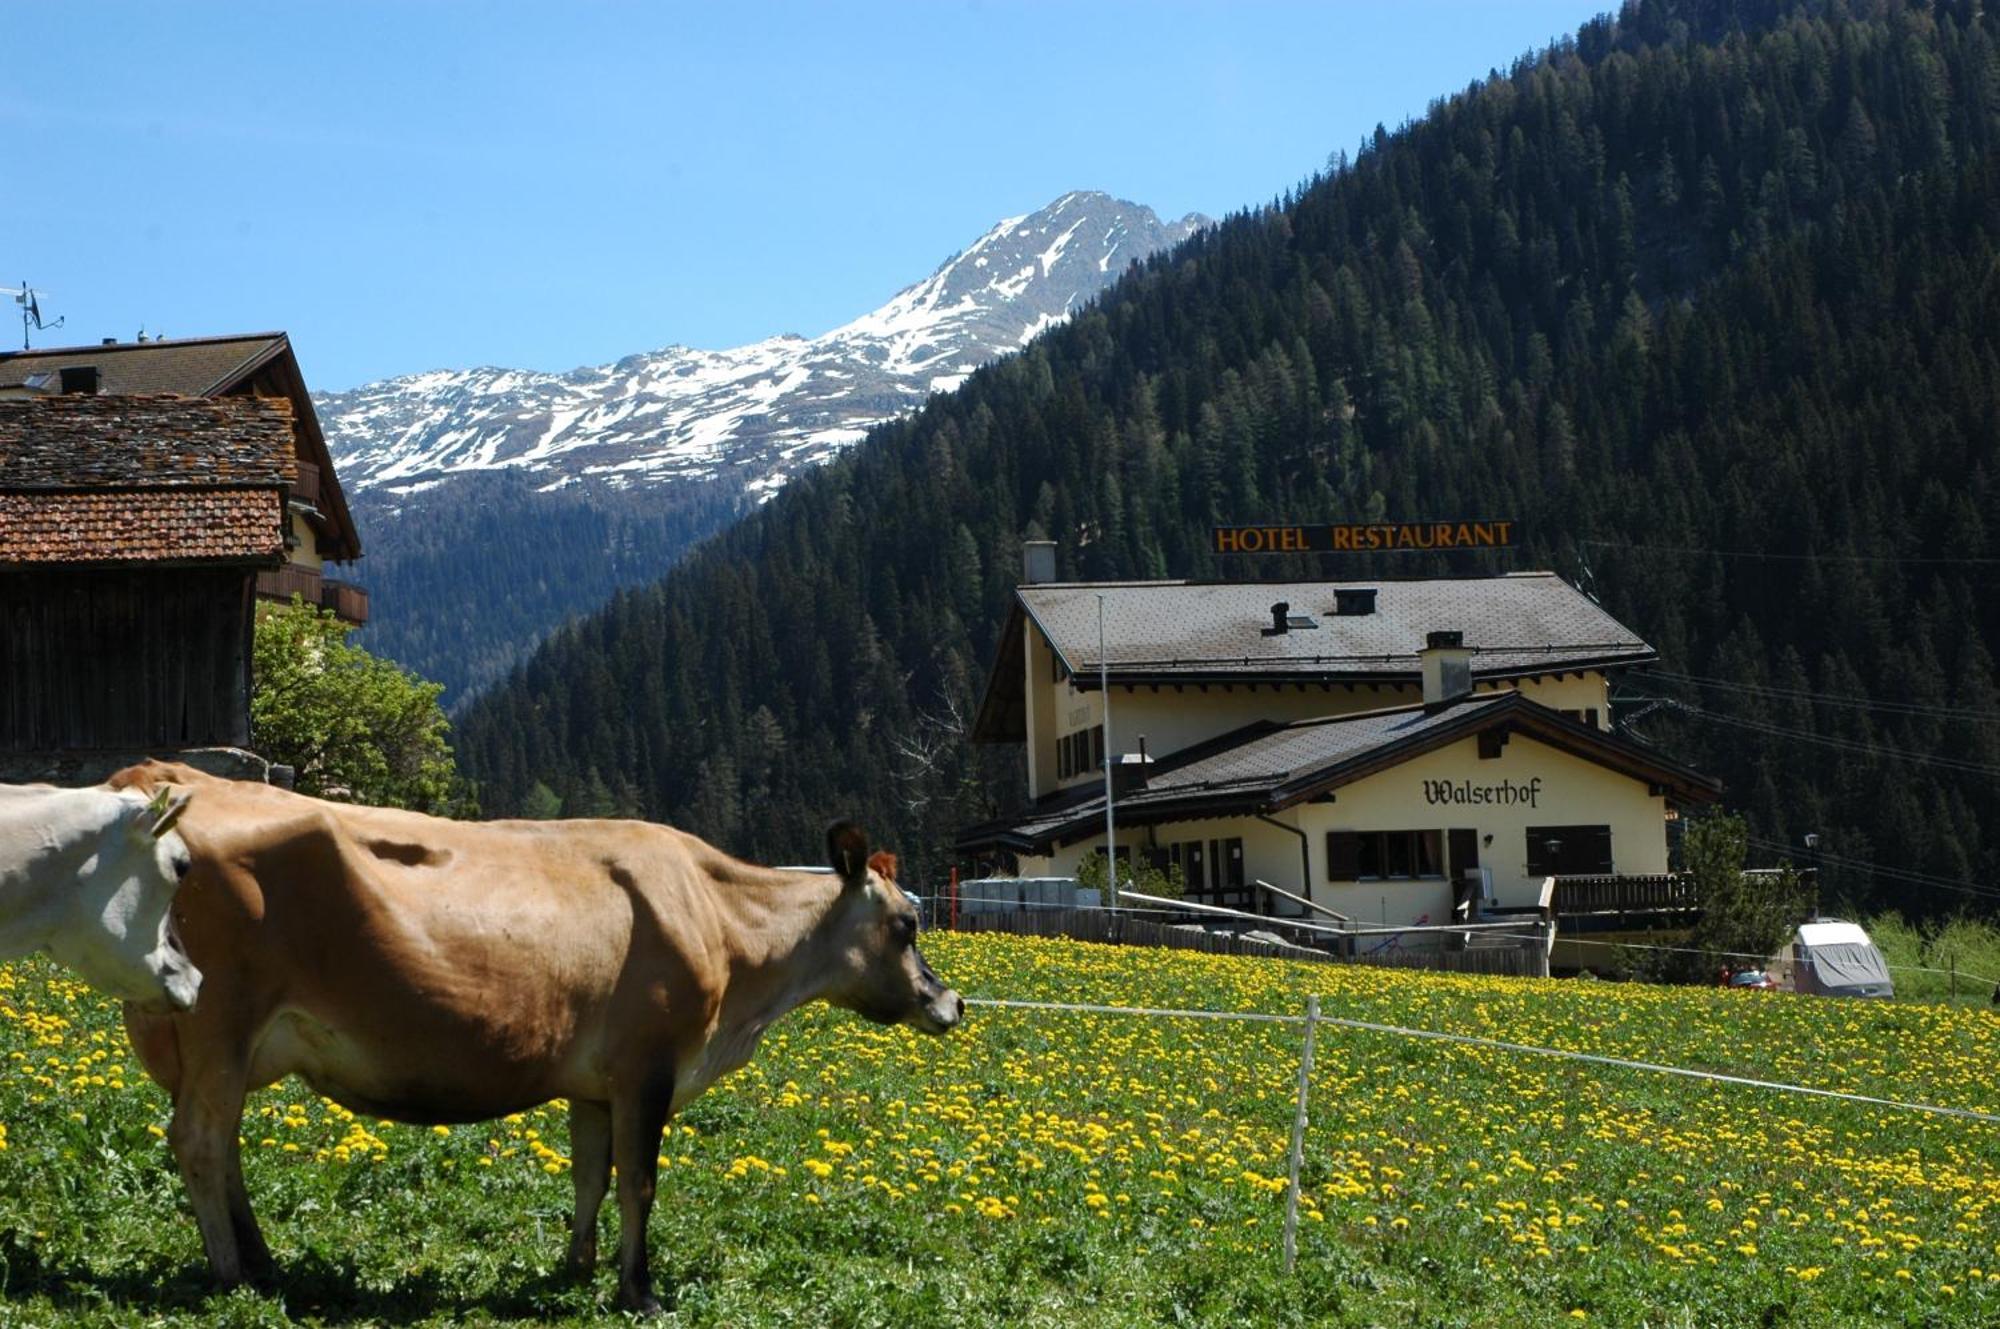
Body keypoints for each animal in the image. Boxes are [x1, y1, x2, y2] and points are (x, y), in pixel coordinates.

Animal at [109, 764, 968, 1312]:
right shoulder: (648, 1065)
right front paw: (639, 1291)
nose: (951, 1000)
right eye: (908, 922)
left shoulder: (594, 1081)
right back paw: (234, 1277)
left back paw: (263, 1261)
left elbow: (591, 1175)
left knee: (223, 1142)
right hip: (218, 1018)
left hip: (225, 1042)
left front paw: (576, 1268)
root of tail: (168, 774)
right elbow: (639, 1181)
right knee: (200, 1139)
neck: (725, 924)